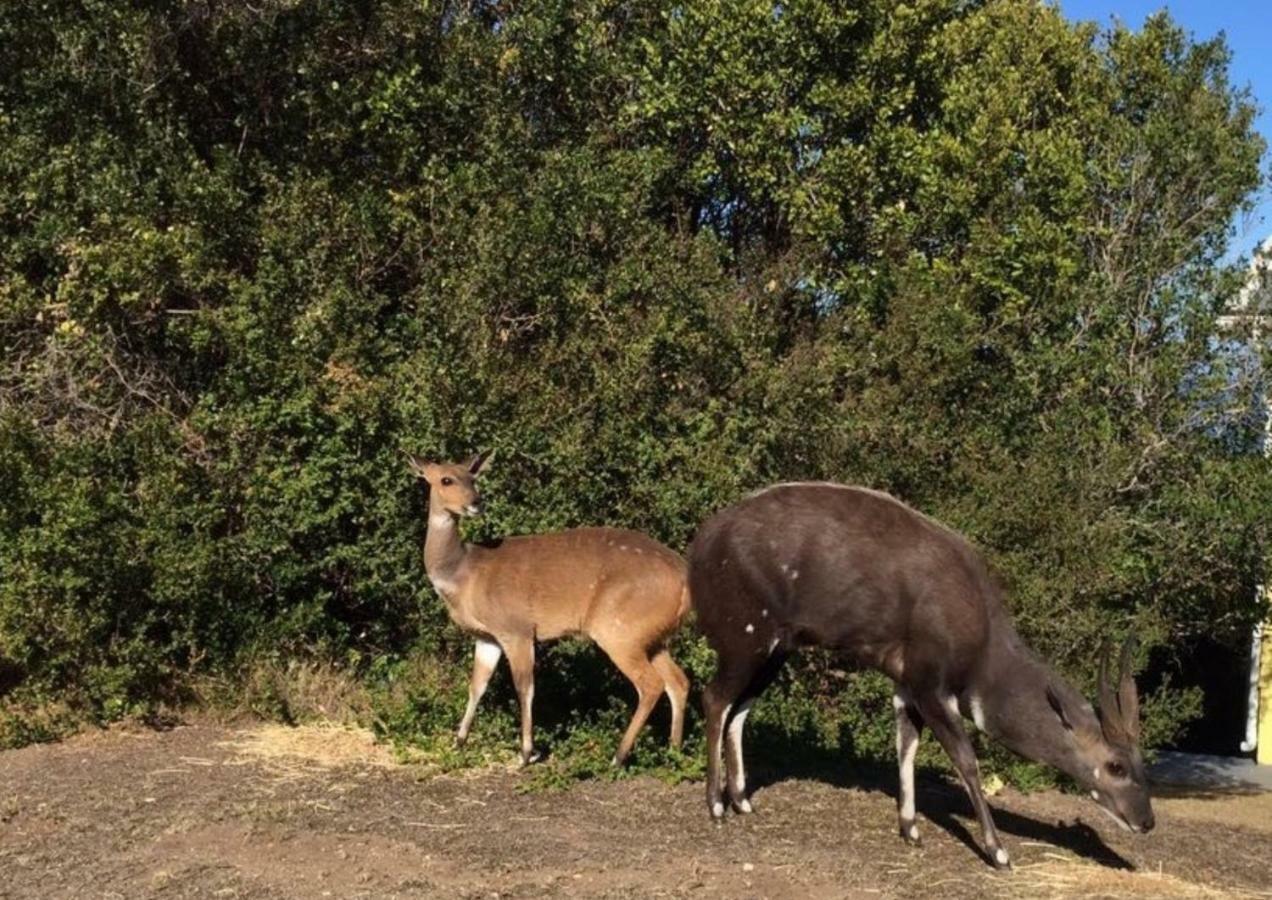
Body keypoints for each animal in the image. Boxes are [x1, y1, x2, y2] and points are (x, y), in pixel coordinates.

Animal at [407, 450, 691, 767]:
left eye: (472, 478)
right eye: (446, 479)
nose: (476, 502)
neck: (464, 574)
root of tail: (684, 576)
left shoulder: (516, 628)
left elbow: (525, 688)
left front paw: (525, 753)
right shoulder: (487, 637)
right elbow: (477, 685)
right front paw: (458, 741)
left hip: (619, 630)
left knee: (650, 683)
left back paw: (618, 757)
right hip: (652, 635)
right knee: (678, 680)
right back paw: (674, 750)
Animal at [691, 480, 1160, 869]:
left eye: (1142, 764)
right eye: (1116, 765)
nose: (1146, 821)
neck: (981, 635)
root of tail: (703, 542)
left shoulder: (905, 688)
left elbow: (907, 747)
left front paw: (911, 830)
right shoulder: (931, 687)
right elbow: (966, 760)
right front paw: (999, 852)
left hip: (775, 652)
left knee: (739, 708)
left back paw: (743, 802)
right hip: (746, 640)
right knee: (715, 698)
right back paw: (715, 807)